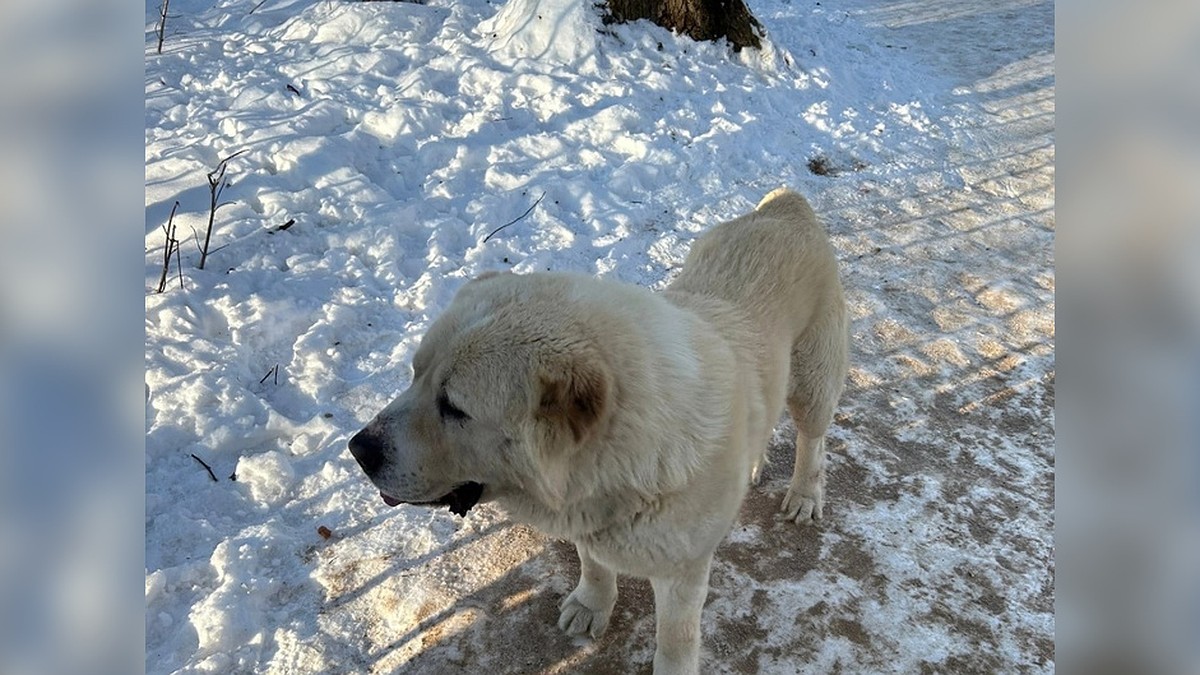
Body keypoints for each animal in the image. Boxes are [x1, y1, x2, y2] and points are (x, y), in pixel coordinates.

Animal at [350, 184, 849, 672]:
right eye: (415, 375)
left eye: (453, 406)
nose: (358, 449)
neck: (627, 463)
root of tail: (786, 206)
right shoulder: (585, 519)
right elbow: (593, 565)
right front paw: (592, 604)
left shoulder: (682, 572)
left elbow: (675, 637)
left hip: (812, 385)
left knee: (812, 438)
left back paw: (805, 494)